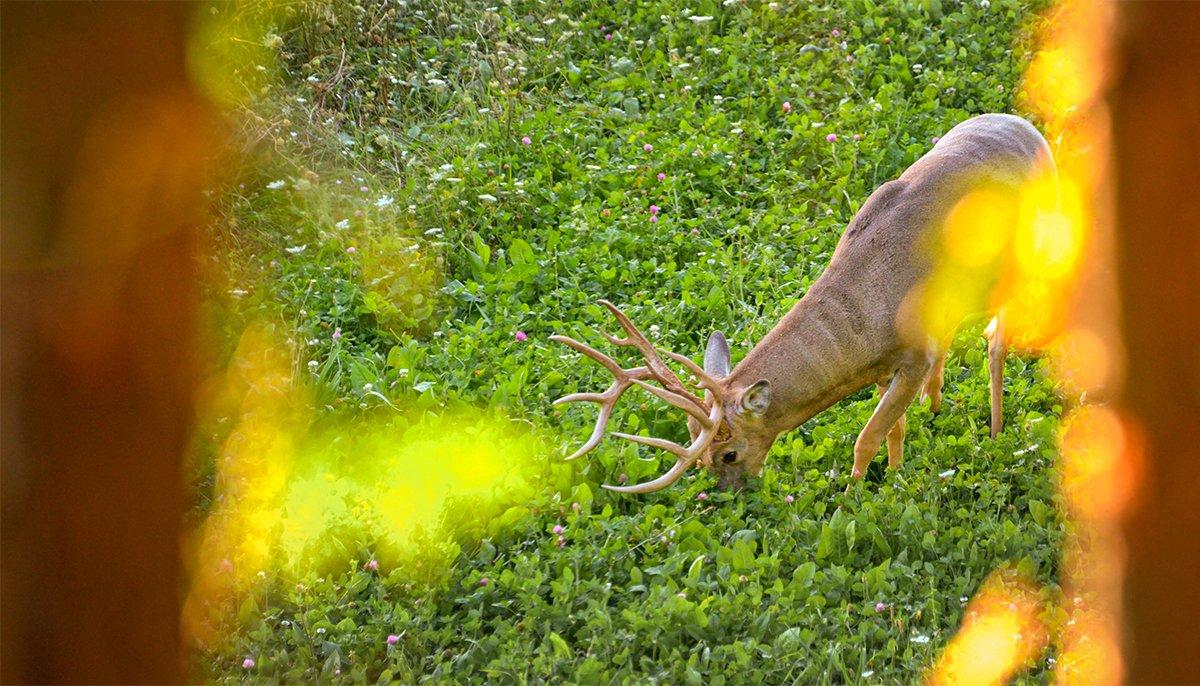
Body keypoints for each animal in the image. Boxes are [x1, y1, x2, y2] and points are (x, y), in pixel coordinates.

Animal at [552, 113, 1051, 494]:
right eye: (703, 460)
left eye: (728, 452)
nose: (728, 494)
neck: (874, 305)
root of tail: (1030, 128)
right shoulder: (888, 365)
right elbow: (895, 429)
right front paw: (895, 477)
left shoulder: (915, 353)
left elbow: (867, 437)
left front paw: (855, 495)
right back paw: (938, 405)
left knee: (996, 339)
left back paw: (997, 431)